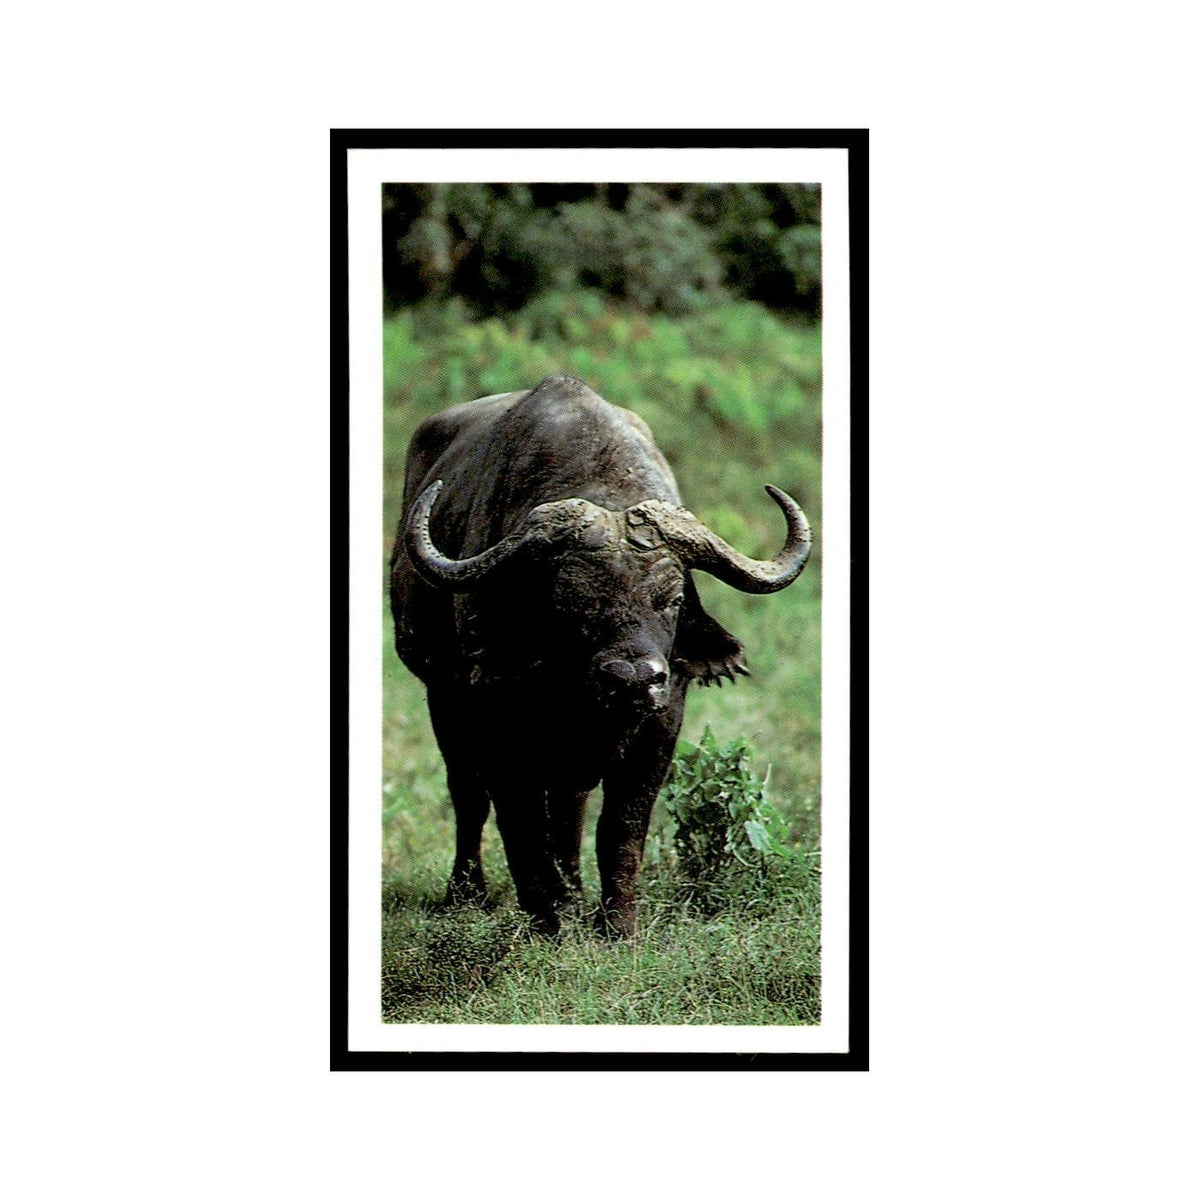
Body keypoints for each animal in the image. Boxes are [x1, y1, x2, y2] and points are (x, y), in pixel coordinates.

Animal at [390, 374, 812, 936]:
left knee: (569, 805)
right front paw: (547, 916)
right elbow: (519, 821)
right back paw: (467, 893)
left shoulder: (661, 727)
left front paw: (617, 927)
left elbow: (620, 828)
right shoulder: (497, 724)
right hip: (442, 698)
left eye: (671, 598)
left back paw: (572, 887)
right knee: (468, 795)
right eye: (567, 601)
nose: (632, 680)